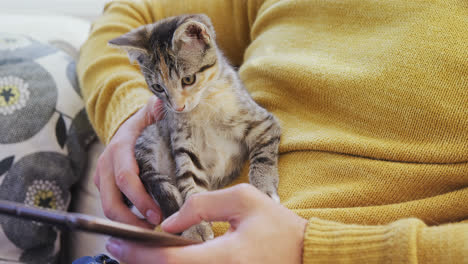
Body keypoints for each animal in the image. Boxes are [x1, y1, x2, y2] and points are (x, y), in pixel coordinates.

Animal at [109, 14, 282, 241]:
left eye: (188, 79)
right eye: (158, 87)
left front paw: (262, 189)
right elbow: (189, 184)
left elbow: (263, 157)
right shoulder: (184, 146)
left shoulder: (264, 123)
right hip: (149, 137)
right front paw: (195, 228)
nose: (177, 107)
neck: (203, 107)